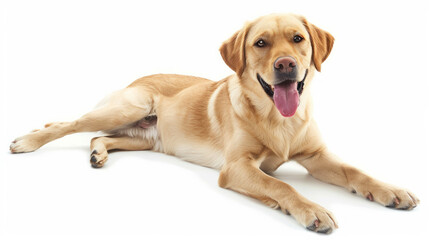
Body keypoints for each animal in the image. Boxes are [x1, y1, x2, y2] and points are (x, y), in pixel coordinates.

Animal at [9, 13, 418, 232]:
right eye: (261, 43)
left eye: (298, 39)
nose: (286, 65)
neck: (276, 118)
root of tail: (138, 78)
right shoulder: (236, 167)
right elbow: (281, 185)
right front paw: (309, 208)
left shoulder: (316, 156)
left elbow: (356, 171)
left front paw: (390, 190)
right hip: (125, 109)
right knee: (65, 124)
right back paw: (27, 141)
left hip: (144, 138)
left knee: (100, 137)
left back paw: (98, 155)